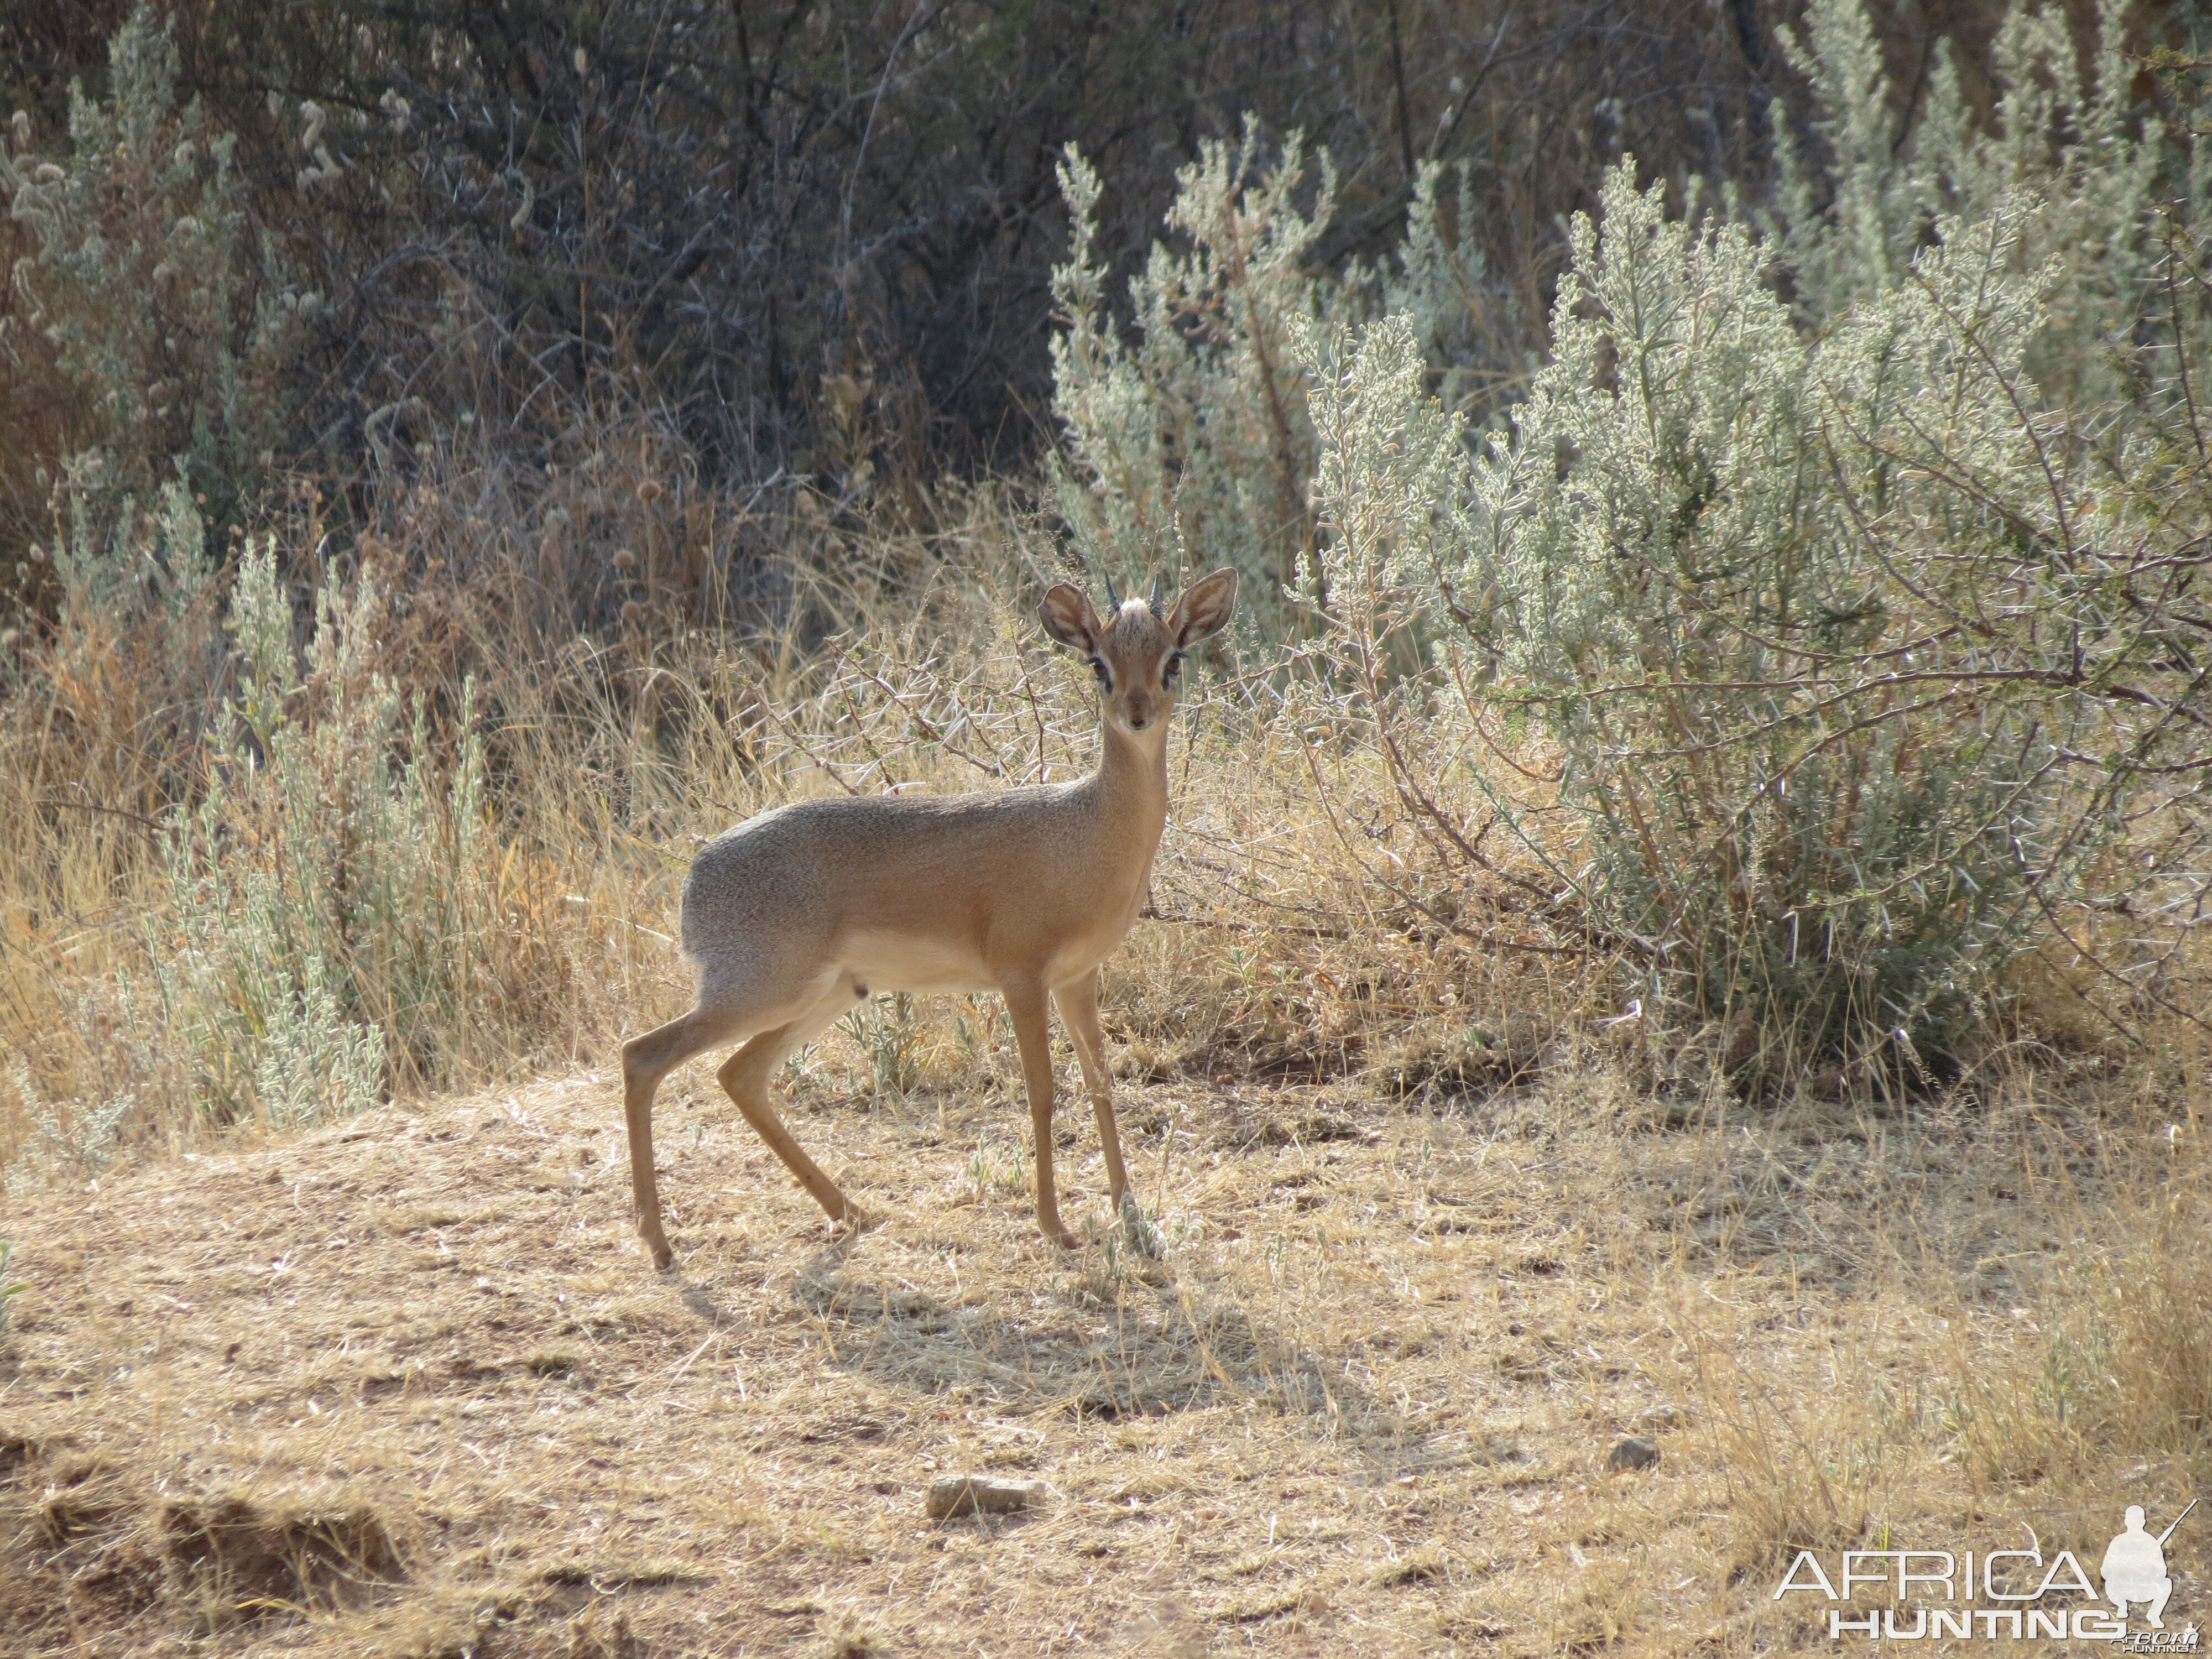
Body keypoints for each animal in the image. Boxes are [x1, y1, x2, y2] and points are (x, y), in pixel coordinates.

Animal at [624, 566, 1239, 1265]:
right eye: (1098, 665)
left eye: (1173, 659)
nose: (1137, 715)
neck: (1087, 831)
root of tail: (695, 876)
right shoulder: (1021, 977)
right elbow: (1042, 1091)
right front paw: (1054, 1226)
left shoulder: (1077, 978)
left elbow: (1100, 1082)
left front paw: (1132, 1217)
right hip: (762, 994)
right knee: (642, 1055)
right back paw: (659, 1242)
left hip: (823, 996)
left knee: (739, 1075)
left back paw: (848, 1212)